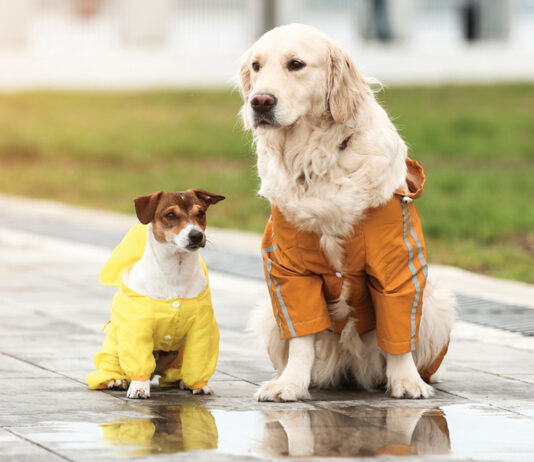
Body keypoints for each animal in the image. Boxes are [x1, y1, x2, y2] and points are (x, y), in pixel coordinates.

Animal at [87, 188, 225, 398]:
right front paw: (139, 387)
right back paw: (117, 380)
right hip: (114, 348)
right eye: (170, 215)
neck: (176, 271)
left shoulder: (201, 327)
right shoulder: (138, 326)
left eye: (200, 213)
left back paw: (182, 382)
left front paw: (199, 385)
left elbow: (198, 361)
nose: (196, 235)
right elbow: (138, 359)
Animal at [239, 24, 456, 400]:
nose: (260, 101)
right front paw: (291, 384)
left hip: (437, 306)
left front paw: (406, 381)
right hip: (267, 314)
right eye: (256, 65)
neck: (318, 159)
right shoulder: (287, 269)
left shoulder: (397, 267)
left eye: (296, 64)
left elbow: (398, 333)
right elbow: (301, 336)